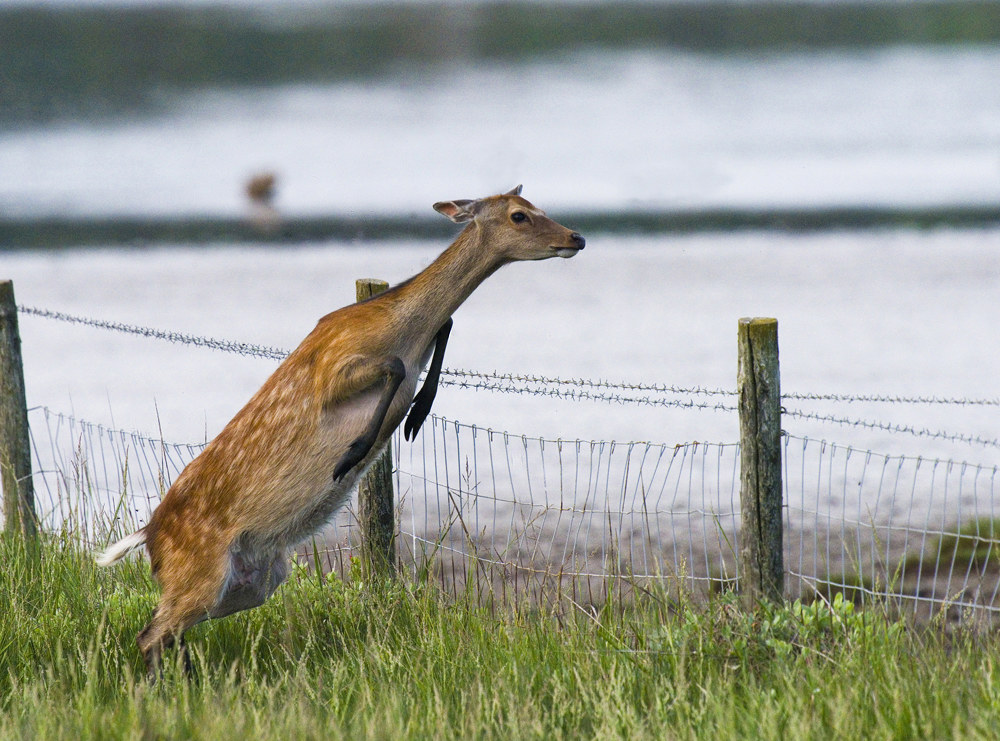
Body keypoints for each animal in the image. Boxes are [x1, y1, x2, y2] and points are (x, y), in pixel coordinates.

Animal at [96, 186, 585, 673]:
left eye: (538, 206)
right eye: (519, 215)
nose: (576, 237)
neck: (398, 329)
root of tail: (148, 536)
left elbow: (443, 326)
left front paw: (417, 412)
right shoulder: (333, 367)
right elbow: (394, 366)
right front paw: (354, 450)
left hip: (253, 581)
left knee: (168, 631)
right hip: (199, 571)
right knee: (151, 633)